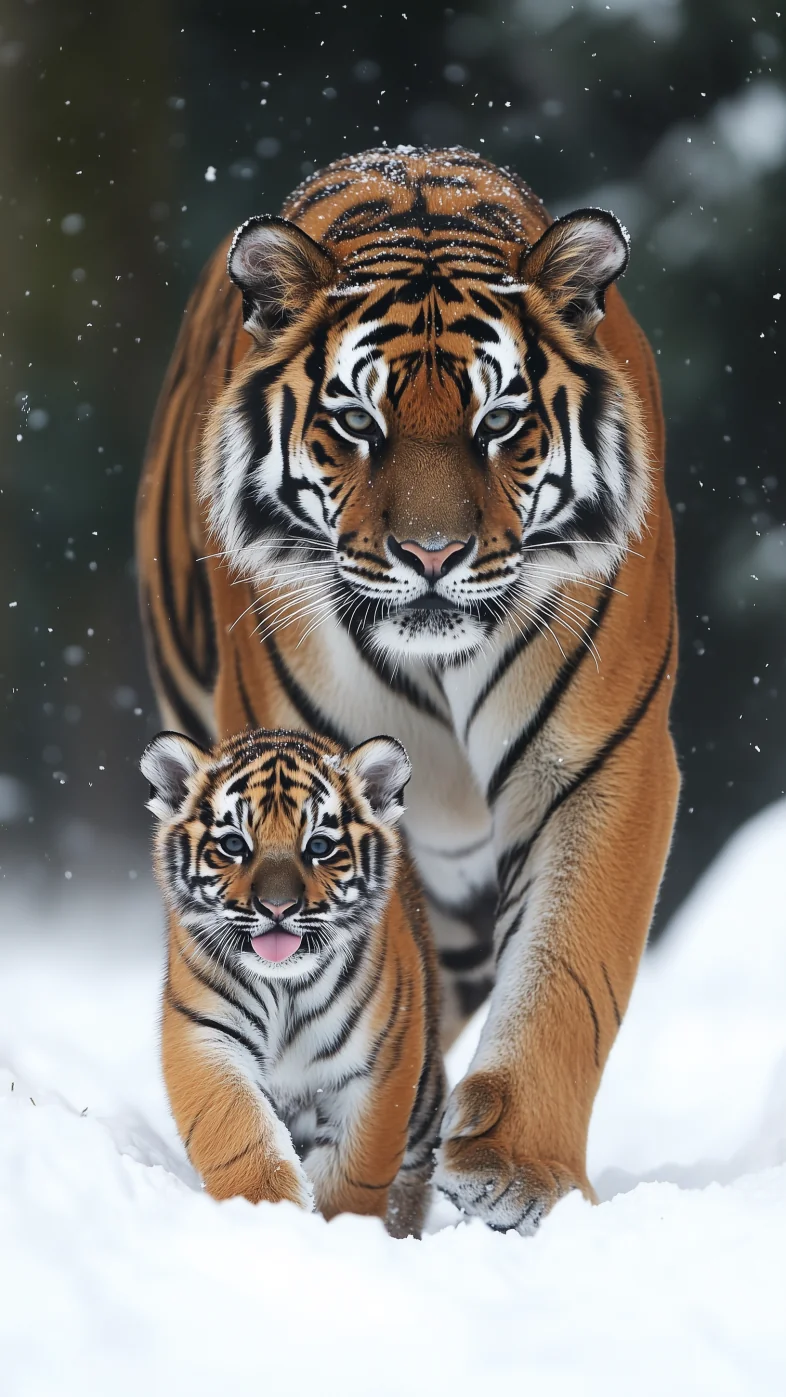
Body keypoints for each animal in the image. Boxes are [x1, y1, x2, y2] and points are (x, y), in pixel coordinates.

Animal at [141, 724, 446, 1238]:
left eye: (319, 847)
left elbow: (353, 1171)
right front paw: (271, 1217)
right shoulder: (206, 1035)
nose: (277, 906)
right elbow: (242, 1135)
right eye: (234, 844)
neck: (285, 988)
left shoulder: (378, 1065)